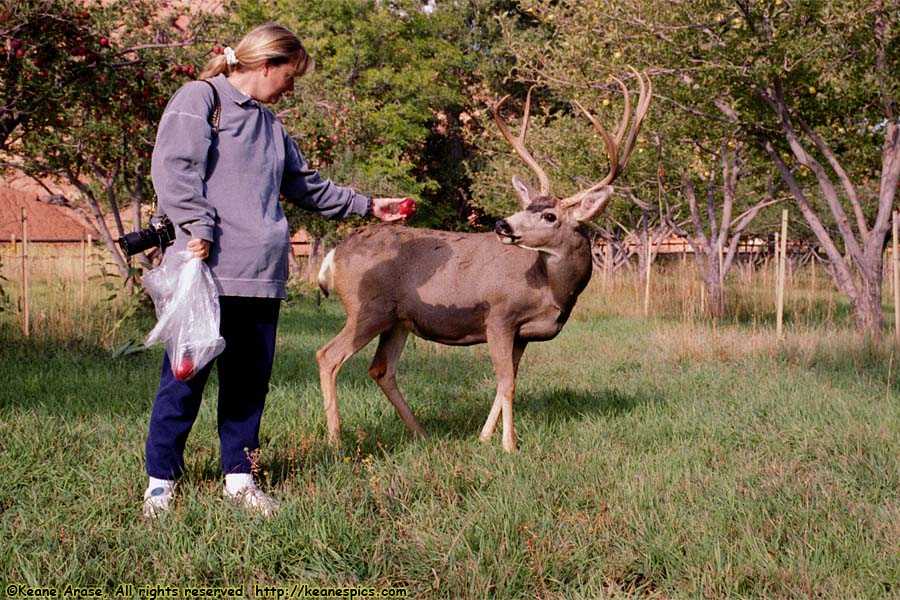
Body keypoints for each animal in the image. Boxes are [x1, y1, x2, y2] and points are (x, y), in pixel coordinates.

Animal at [312, 70, 652, 450]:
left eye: (549, 215)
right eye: (526, 206)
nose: (503, 225)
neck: (551, 289)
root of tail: (334, 254)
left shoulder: (522, 334)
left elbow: (506, 382)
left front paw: (484, 437)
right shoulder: (499, 316)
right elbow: (507, 383)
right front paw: (509, 445)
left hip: (398, 320)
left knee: (381, 369)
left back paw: (421, 432)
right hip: (368, 308)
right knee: (328, 356)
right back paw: (335, 439)